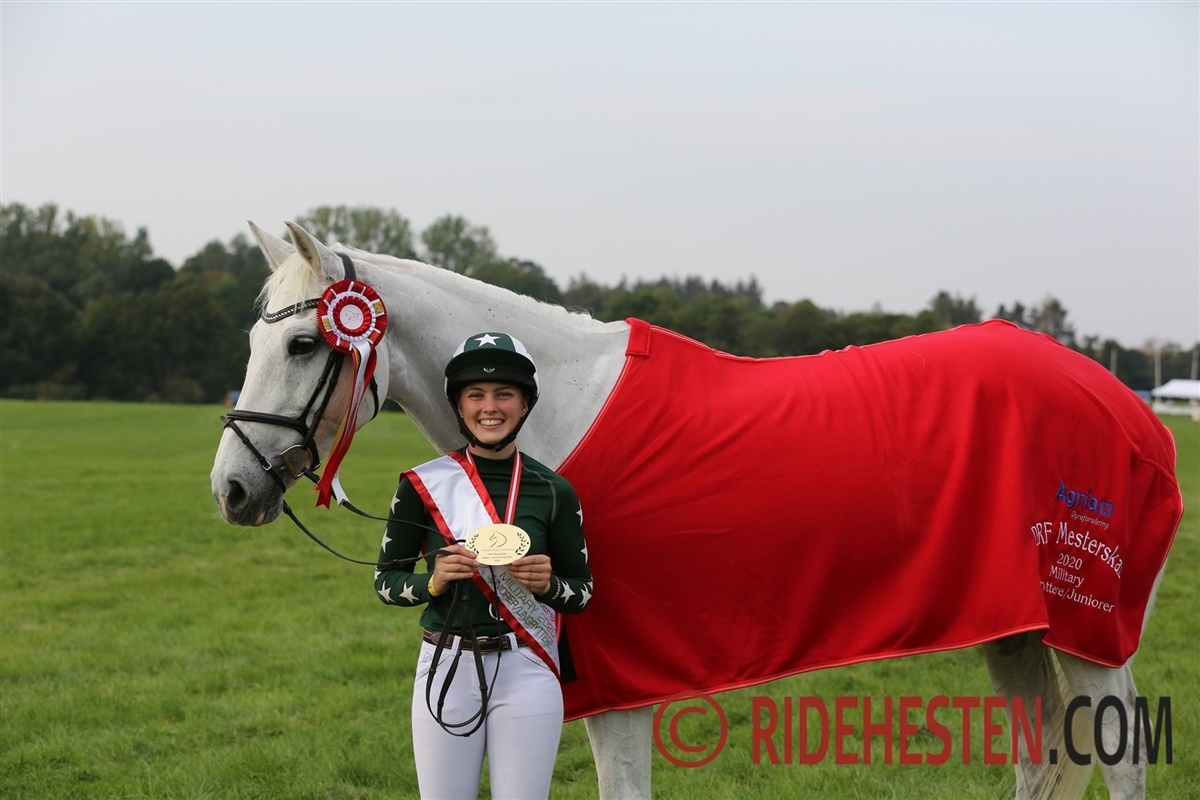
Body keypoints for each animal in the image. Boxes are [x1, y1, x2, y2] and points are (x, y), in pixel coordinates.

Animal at [210, 221, 1182, 800]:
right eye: (256, 337)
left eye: (307, 343)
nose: (231, 488)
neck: (558, 410)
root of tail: (1130, 412)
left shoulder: (618, 683)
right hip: (1012, 627)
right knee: (1041, 751)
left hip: (1087, 627)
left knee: (1120, 757)